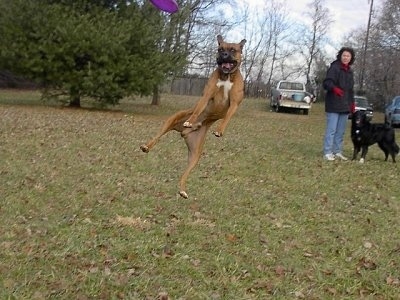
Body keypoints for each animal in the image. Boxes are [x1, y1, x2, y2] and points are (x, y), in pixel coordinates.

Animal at [141, 35, 247, 199]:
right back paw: (148, 145)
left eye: (232, 50)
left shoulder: (234, 103)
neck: (226, 76)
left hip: (195, 155)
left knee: (185, 173)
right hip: (171, 120)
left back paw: (183, 190)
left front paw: (219, 130)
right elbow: (198, 109)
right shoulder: (206, 96)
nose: (223, 55)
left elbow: (227, 118)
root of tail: (184, 133)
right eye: (220, 49)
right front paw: (191, 121)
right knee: (157, 137)